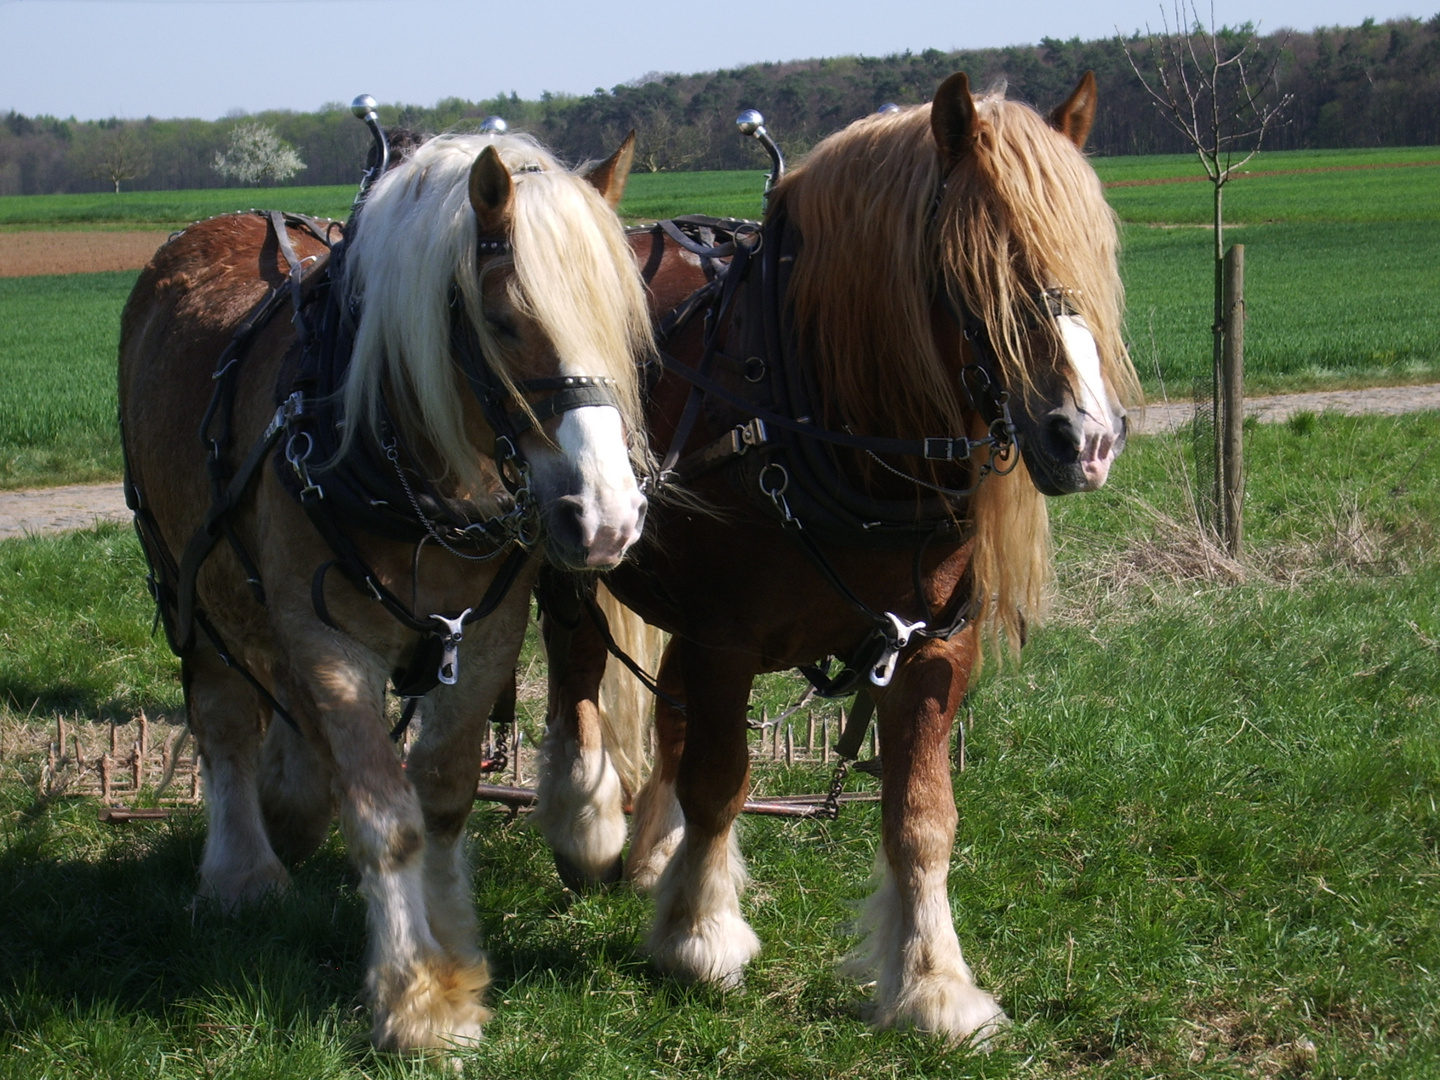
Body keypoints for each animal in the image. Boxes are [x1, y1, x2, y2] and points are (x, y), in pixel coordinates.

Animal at [120, 128, 650, 1059]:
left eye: (619, 321)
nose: (607, 520)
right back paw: (241, 871)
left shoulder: (484, 636)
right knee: (223, 717)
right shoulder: (330, 643)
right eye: (504, 323)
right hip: (190, 577)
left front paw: (457, 955)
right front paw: (417, 997)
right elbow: (385, 816)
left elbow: (441, 796)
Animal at [535, 69, 1140, 1048]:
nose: (1083, 440)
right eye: (968, 268)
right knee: (578, 663)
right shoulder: (727, 639)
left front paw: (934, 982)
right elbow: (721, 782)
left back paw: (653, 851)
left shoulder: (931, 645)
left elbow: (922, 816)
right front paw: (701, 935)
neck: (821, 415)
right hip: (576, 546)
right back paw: (585, 821)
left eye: (1088, 255)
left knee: (663, 707)